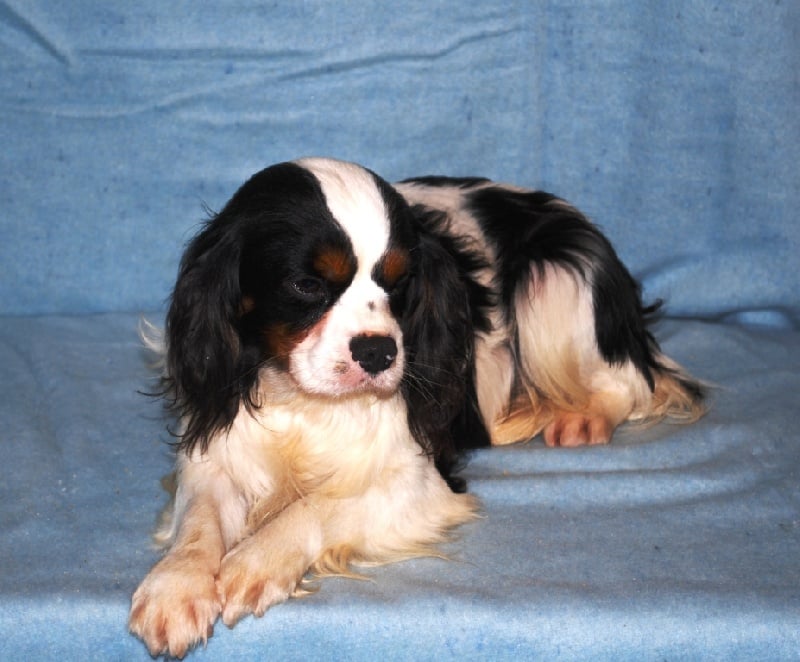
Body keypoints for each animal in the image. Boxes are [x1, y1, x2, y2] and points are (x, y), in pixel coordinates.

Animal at [129, 157, 704, 657]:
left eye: (400, 282)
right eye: (307, 285)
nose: (379, 352)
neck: (301, 397)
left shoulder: (420, 480)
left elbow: (319, 505)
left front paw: (254, 562)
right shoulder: (216, 449)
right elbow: (199, 522)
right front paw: (175, 588)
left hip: (558, 278)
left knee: (629, 383)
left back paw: (581, 416)